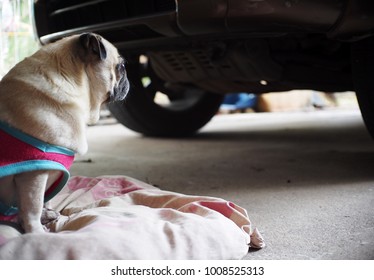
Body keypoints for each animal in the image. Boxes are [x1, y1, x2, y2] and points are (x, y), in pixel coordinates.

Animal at [0, 32, 129, 232]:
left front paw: (47, 216)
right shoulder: (34, 175)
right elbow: (32, 209)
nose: (128, 78)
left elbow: (45, 201)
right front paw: (36, 232)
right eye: (121, 67)